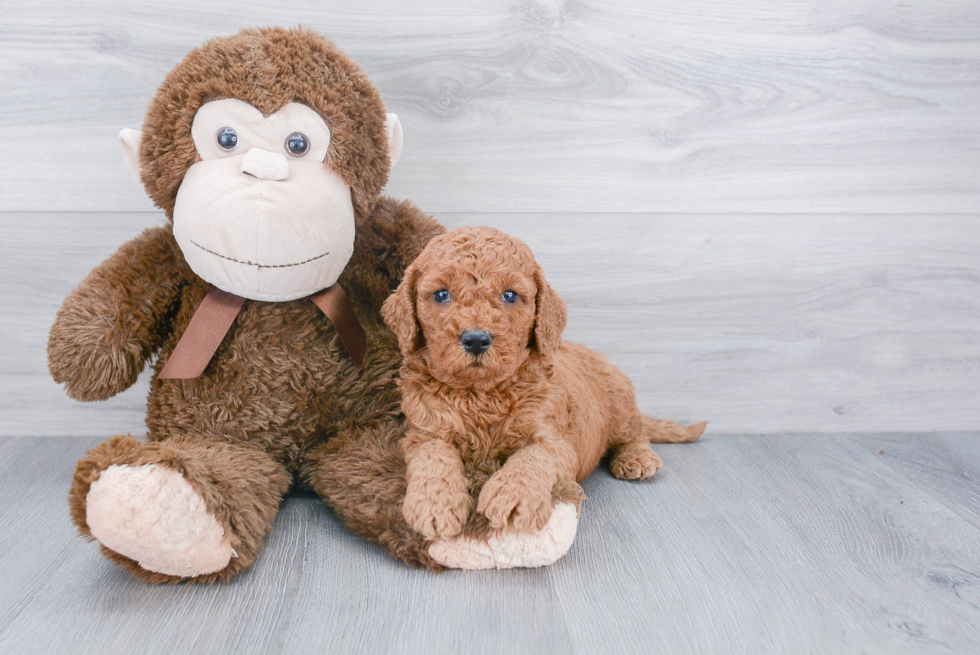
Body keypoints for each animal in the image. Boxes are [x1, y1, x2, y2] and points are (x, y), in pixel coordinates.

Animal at [382, 228, 704, 540]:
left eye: (510, 295)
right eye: (441, 294)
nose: (475, 339)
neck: (481, 393)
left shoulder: (556, 440)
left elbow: (533, 456)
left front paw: (512, 496)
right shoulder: (423, 434)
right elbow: (434, 459)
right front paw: (433, 504)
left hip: (620, 401)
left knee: (635, 433)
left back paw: (637, 457)